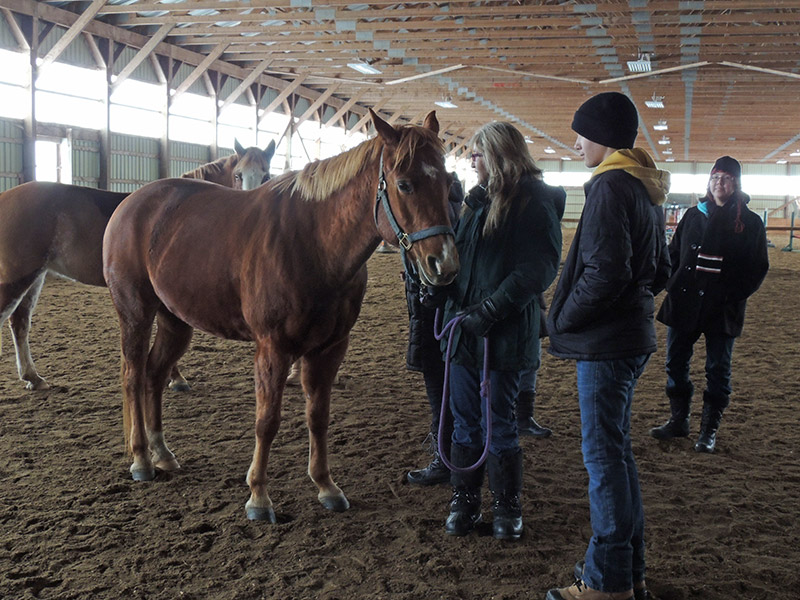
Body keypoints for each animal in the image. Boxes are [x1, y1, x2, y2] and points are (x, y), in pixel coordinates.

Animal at [0, 141, 275, 391]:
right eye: (238, 174)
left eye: (267, 175)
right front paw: (176, 378)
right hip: (17, 277)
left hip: (36, 276)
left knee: (20, 322)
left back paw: (33, 377)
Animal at [102, 109, 459, 522]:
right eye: (404, 184)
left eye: (449, 182)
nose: (444, 264)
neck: (313, 242)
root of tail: (132, 203)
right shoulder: (273, 349)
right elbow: (267, 421)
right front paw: (258, 496)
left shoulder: (329, 349)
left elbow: (318, 416)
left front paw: (326, 486)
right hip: (136, 314)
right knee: (133, 376)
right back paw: (142, 460)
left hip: (175, 321)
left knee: (155, 376)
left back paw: (162, 453)